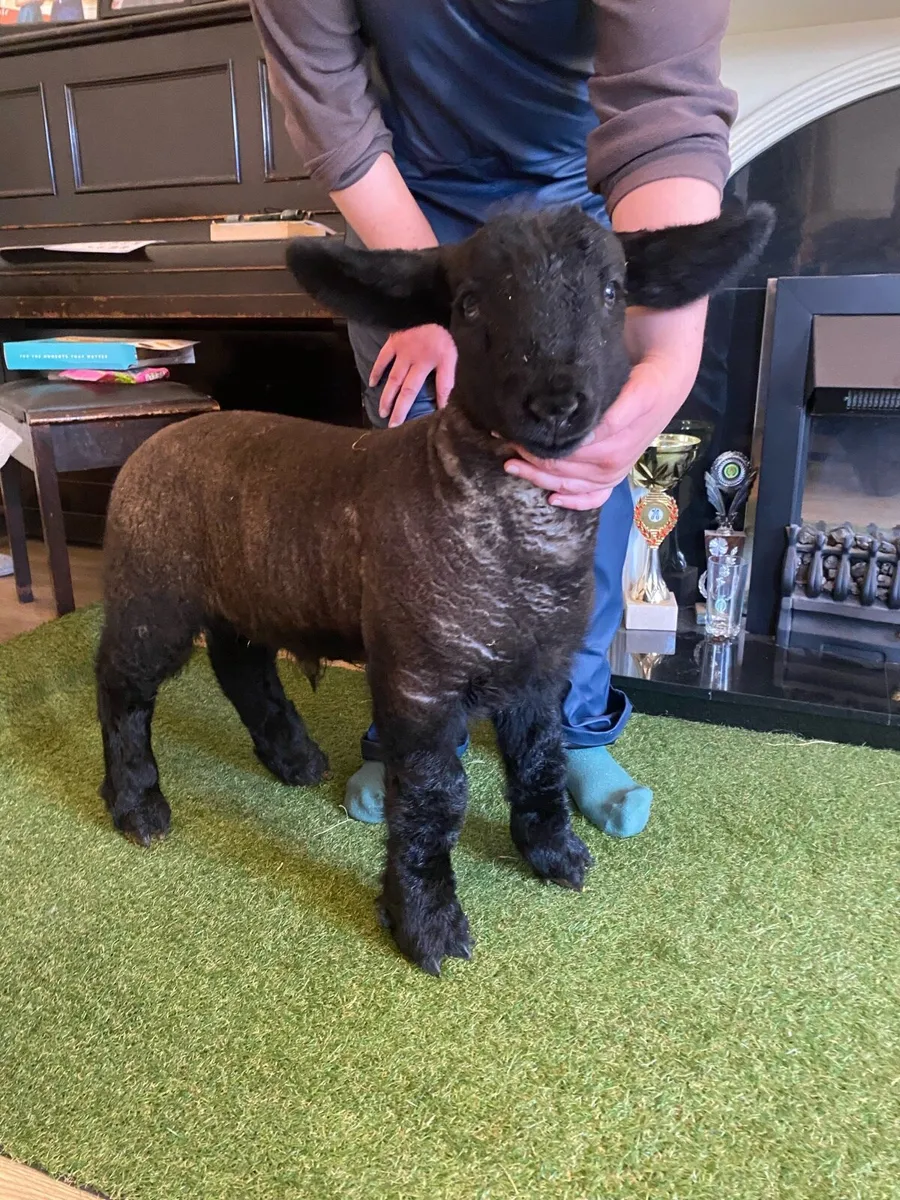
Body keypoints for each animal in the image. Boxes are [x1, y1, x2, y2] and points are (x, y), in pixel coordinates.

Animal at [96, 202, 773, 974]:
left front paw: (552, 852)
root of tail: (157, 441)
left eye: (612, 291)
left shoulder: (541, 669)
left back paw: (294, 758)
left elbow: (540, 763)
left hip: (246, 592)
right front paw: (426, 921)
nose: (556, 403)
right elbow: (431, 798)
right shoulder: (419, 680)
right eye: (468, 303)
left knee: (242, 668)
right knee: (122, 687)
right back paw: (136, 803)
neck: (515, 538)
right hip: (152, 591)